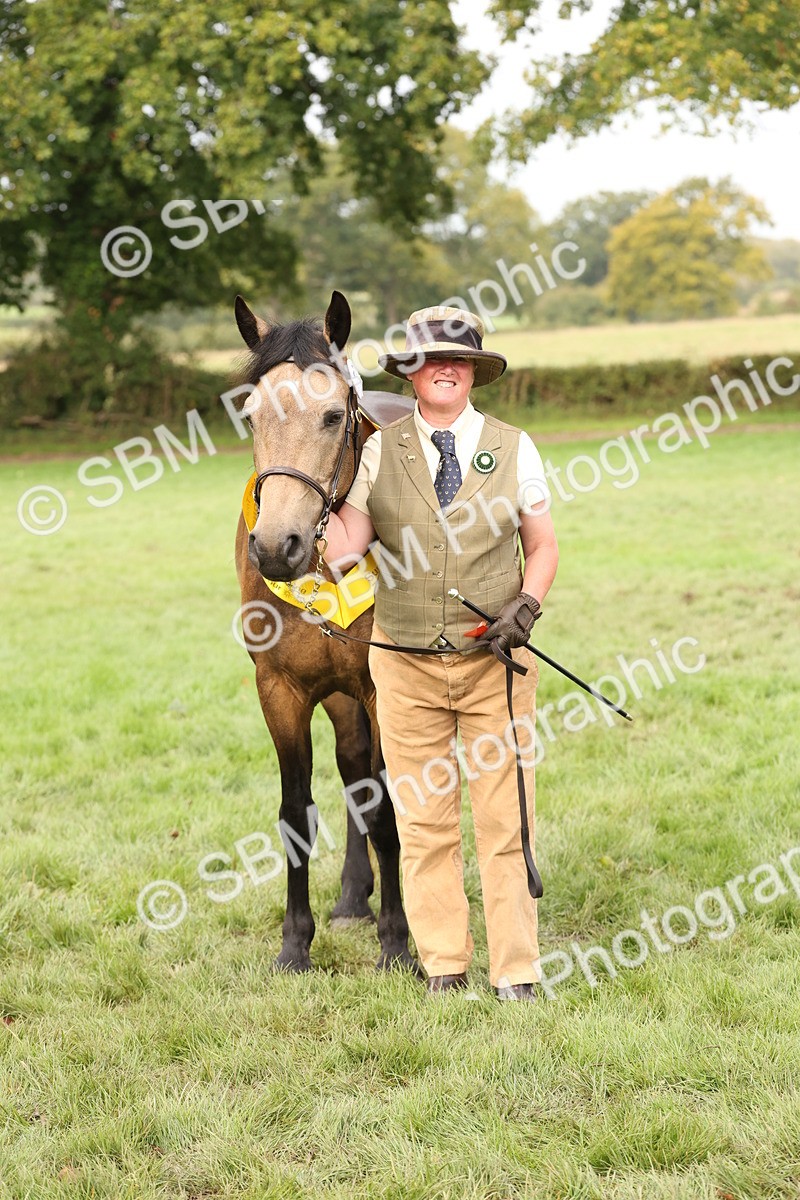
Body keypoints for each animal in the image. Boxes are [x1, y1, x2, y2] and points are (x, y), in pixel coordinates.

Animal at [233, 289, 417, 975]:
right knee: (353, 771)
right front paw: (295, 943)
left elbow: (389, 810)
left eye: (334, 415)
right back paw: (350, 897)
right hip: (338, 699)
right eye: (251, 416)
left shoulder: (383, 687)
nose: (274, 547)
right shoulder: (280, 689)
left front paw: (398, 942)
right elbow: (296, 813)